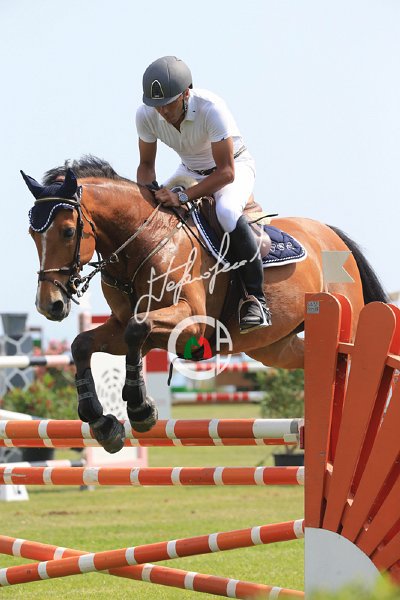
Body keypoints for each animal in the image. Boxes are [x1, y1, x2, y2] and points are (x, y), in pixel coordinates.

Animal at [22, 156, 388, 454]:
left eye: (67, 232)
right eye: (32, 234)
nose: (49, 305)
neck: (143, 243)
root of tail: (331, 235)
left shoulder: (190, 324)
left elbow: (138, 328)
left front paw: (141, 409)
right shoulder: (123, 327)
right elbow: (84, 344)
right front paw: (102, 422)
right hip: (274, 347)